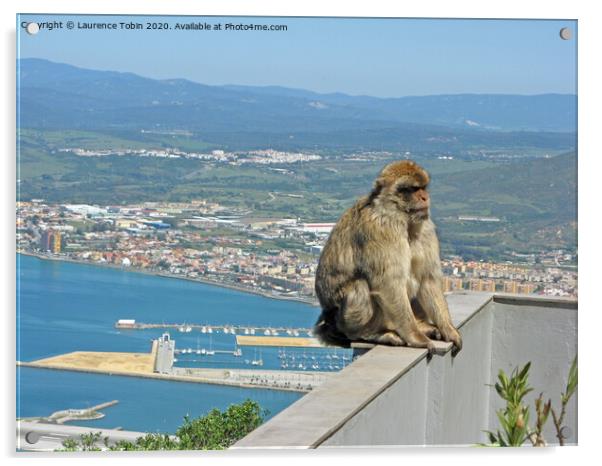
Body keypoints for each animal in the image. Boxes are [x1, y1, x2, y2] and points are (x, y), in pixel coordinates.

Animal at [312, 159, 462, 354]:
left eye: (422, 188)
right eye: (412, 189)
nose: (424, 197)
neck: (402, 219)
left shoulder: (426, 227)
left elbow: (428, 279)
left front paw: (448, 330)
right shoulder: (382, 229)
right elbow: (389, 283)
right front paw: (415, 337)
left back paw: (422, 326)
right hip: (341, 321)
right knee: (360, 287)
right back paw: (371, 334)